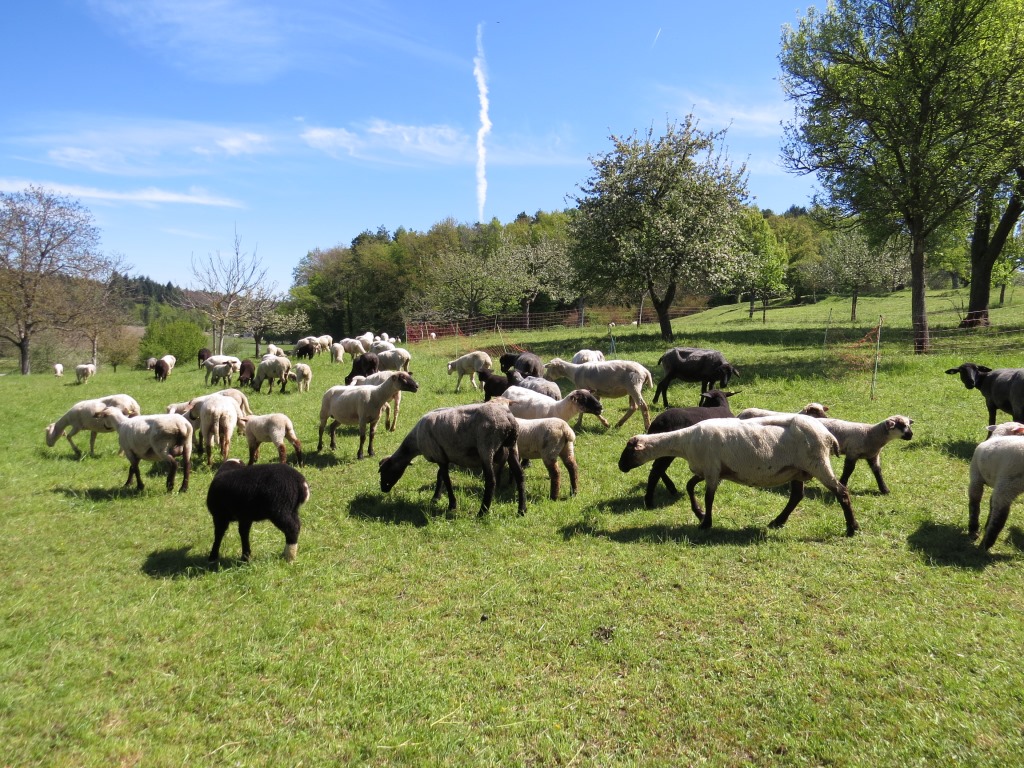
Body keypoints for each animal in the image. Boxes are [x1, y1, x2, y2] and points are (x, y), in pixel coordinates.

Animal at [378, 401, 527, 517]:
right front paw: (436, 497)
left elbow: (447, 480)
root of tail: (509, 420)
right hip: (513, 447)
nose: (383, 489)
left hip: (486, 446)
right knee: (520, 476)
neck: (415, 443)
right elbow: (440, 476)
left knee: (491, 481)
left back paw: (482, 512)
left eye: (384, 471)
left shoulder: (439, 455)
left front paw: (451, 505)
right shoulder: (443, 455)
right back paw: (522, 510)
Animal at [618, 414, 859, 536]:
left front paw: (705, 523)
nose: (620, 466)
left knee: (841, 492)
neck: (684, 442)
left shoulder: (712, 471)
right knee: (796, 497)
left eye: (628, 450)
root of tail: (828, 436)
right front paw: (699, 513)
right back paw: (777, 522)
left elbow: (709, 497)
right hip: (799, 470)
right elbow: (689, 485)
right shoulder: (710, 470)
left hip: (817, 463)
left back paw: (852, 528)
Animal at [967, 422, 1024, 550]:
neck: (999, 434)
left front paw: (973, 529)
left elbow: (974, 503)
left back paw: (986, 543)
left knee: (1000, 515)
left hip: (1008, 483)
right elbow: (990, 503)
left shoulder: (976, 477)